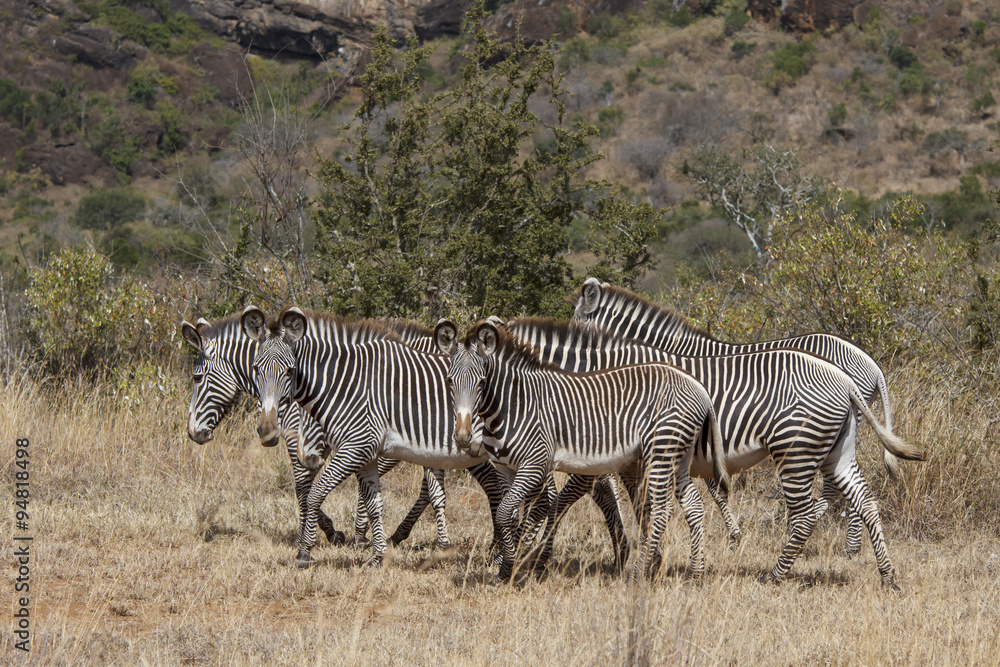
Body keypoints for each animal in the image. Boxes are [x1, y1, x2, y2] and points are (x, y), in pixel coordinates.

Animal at [180, 310, 486, 551]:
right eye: (255, 369)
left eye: (196, 378)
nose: (193, 433)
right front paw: (341, 532)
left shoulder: (303, 439)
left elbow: (303, 487)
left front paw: (319, 533)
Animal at [246, 307, 515, 568]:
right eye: (256, 369)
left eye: (289, 371)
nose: (267, 430)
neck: (350, 384)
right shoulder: (369, 454)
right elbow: (375, 505)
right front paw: (377, 556)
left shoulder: (358, 447)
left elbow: (316, 494)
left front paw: (304, 552)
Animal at [436, 319, 731, 582]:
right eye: (449, 381)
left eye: (481, 382)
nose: (462, 438)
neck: (514, 405)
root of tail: (699, 387)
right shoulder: (507, 469)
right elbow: (509, 515)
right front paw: (507, 568)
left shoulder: (535, 464)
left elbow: (508, 512)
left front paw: (511, 565)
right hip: (677, 455)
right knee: (693, 505)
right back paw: (695, 574)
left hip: (661, 450)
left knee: (659, 509)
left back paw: (637, 575)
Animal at [552, 302, 922, 588]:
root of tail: (869, 365)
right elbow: (699, 493)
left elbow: (579, 495)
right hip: (838, 442)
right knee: (857, 495)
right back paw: (878, 568)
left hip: (805, 443)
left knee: (825, 497)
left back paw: (803, 558)